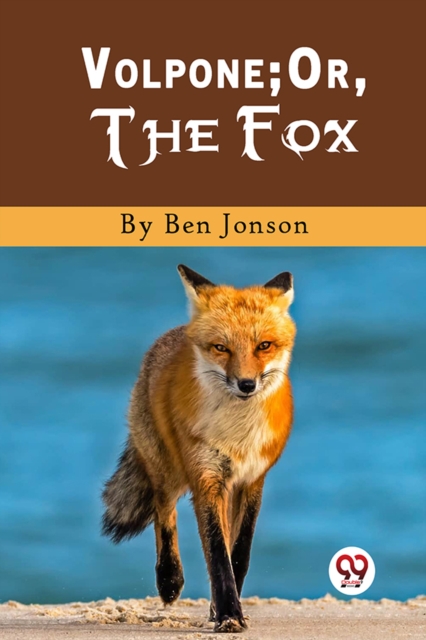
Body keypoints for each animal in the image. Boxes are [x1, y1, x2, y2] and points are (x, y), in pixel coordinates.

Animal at [102, 264, 296, 633]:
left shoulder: (253, 480)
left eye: (264, 346)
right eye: (221, 348)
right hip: (168, 469)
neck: (238, 435)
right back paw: (169, 579)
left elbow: (238, 553)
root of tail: (173, 333)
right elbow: (218, 555)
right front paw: (229, 614)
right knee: (163, 510)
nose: (246, 384)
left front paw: (224, 609)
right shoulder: (206, 478)